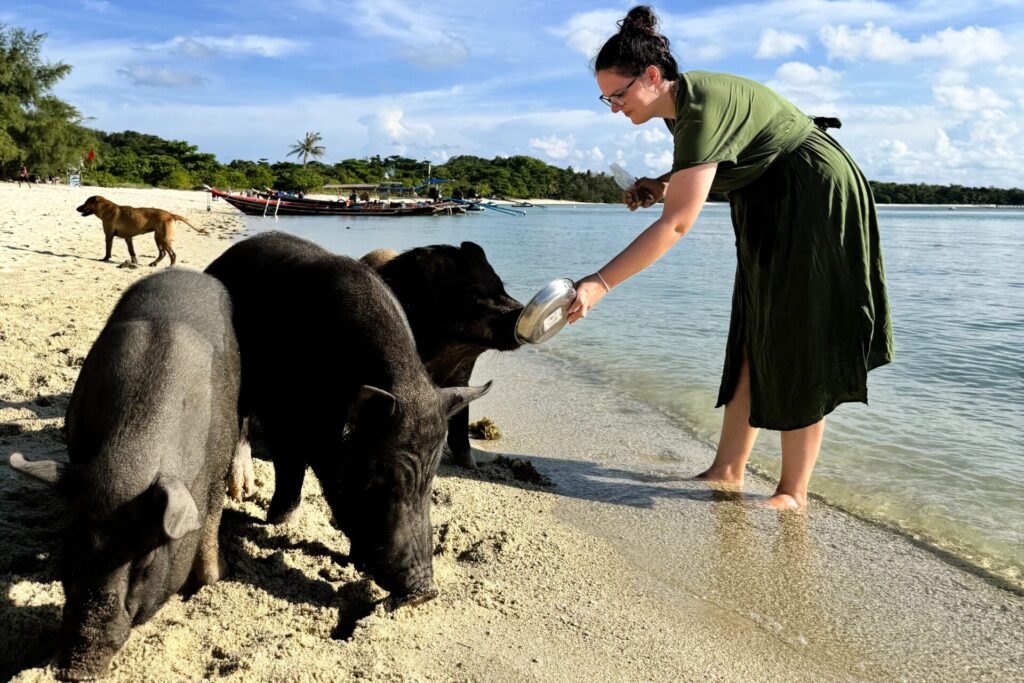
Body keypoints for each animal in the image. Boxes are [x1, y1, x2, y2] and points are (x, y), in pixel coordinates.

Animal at [7, 269, 240, 680]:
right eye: (73, 544)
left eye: (145, 560)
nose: (77, 668)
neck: (130, 460)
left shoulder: (216, 475)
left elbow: (210, 533)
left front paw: (218, 577)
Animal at [204, 231, 489, 604]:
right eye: (379, 480)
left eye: (430, 482)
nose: (424, 592)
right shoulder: (283, 416)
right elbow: (291, 469)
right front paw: (280, 522)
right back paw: (242, 490)